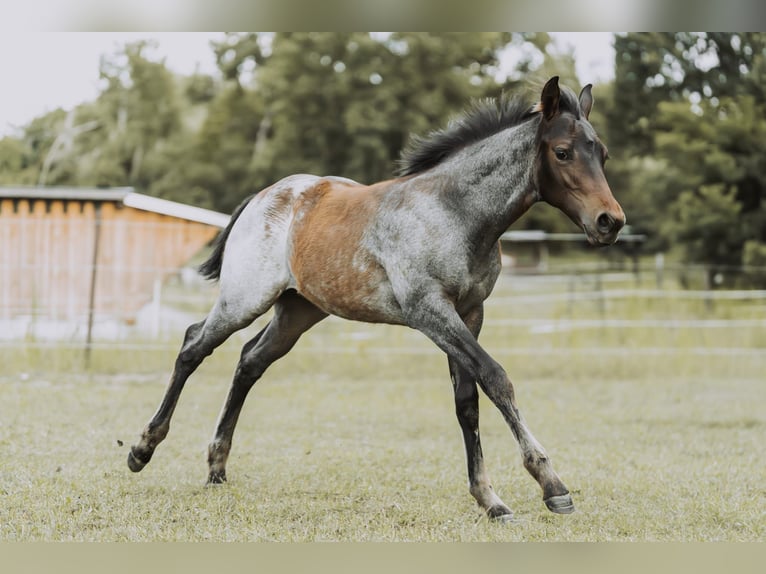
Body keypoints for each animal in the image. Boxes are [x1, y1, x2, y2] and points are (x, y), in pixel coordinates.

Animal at [129, 75, 628, 520]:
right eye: (562, 152)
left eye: (602, 153)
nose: (610, 221)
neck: (454, 214)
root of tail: (264, 195)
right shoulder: (430, 311)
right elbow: (495, 378)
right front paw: (551, 485)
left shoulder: (470, 313)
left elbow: (467, 400)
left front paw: (490, 500)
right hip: (243, 299)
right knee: (194, 345)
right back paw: (142, 448)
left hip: (297, 311)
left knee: (250, 360)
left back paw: (216, 465)